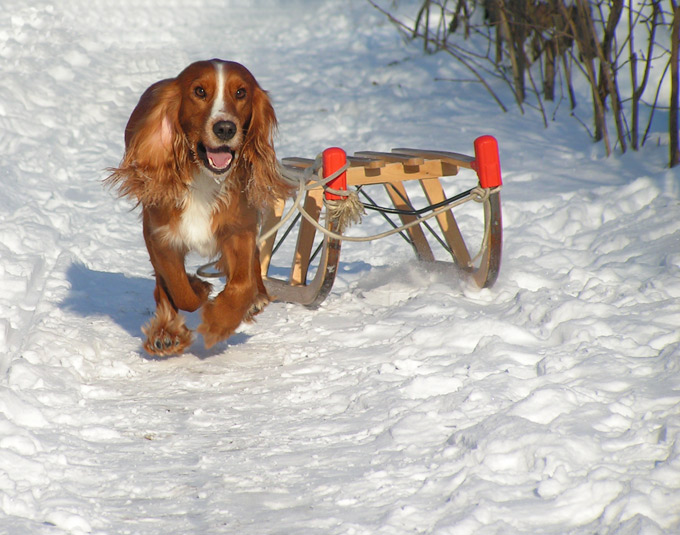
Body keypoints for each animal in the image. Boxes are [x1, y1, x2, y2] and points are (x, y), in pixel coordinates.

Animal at [106, 59, 290, 356]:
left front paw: (219, 322)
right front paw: (198, 289)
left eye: (241, 93)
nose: (225, 128)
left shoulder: (240, 228)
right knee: (163, 287)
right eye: (199, 91)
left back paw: (256, 298)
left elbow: (242, 283)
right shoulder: (161, 236)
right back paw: (166, 333)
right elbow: (180, 291)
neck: (204, 176)